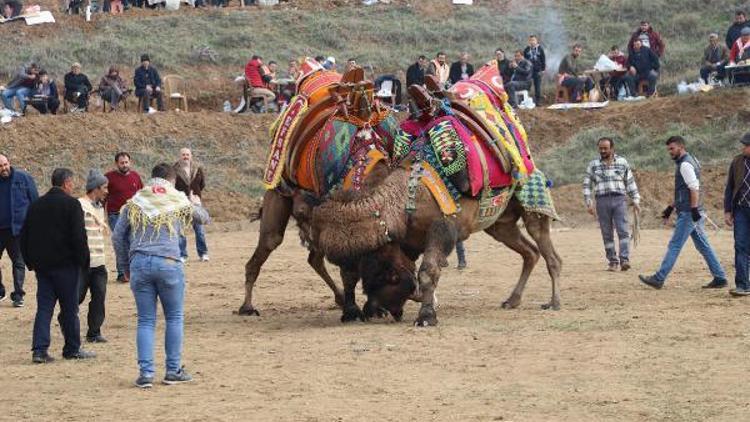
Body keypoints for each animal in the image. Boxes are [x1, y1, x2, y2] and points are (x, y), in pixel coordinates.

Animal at [312, 166, 564, 324]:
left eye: (389, 281)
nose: (377, 310)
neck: (405, 198)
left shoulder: (441, 229)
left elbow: (428, 272)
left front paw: (426, 317)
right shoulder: (408, 242)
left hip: (533, 212)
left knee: (551, 257)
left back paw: (554, 302)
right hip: (501, 225)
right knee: (530, 252)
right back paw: (512, 300)